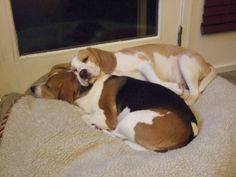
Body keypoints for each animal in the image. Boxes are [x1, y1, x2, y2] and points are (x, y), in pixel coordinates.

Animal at [71, 43, 217, 105]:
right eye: (74, 70)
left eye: (85, 59)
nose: (82, 73)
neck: (116, 69)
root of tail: (206, 63)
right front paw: (175, 88)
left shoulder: (143, 63)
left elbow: (155, 80)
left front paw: (175, 88)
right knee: (190, 91)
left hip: (184, 61)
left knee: (195, 92)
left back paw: (187, 100)